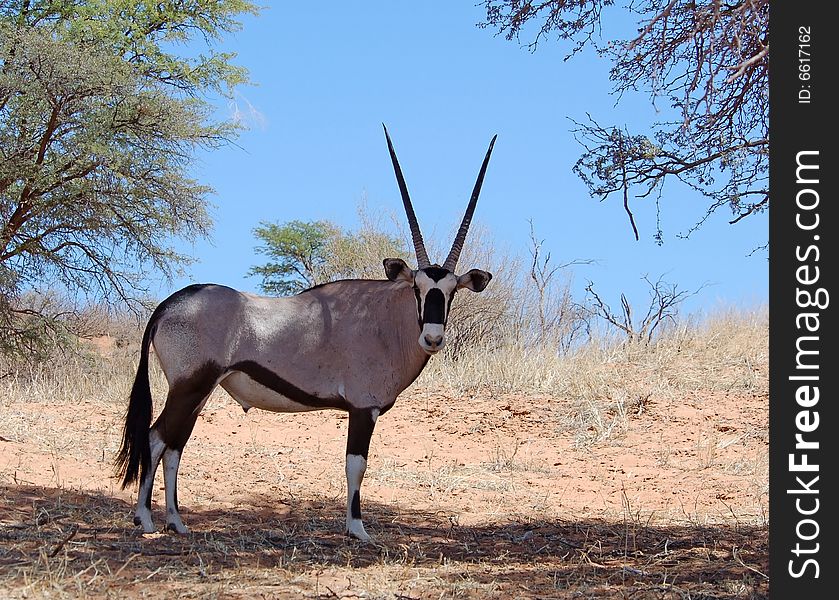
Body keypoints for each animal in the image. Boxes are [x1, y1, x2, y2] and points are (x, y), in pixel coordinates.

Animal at [115, 124, 496, 540]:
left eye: (450, 292)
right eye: (418, 289)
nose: (432, 338)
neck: (384, 317)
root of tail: (168, 305)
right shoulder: (363, 408)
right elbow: (356, 464)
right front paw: (357, 528)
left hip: (198, 393)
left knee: (174, 445)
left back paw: (176, 521)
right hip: (189, 387)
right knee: (156, 439)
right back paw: (145, 518)